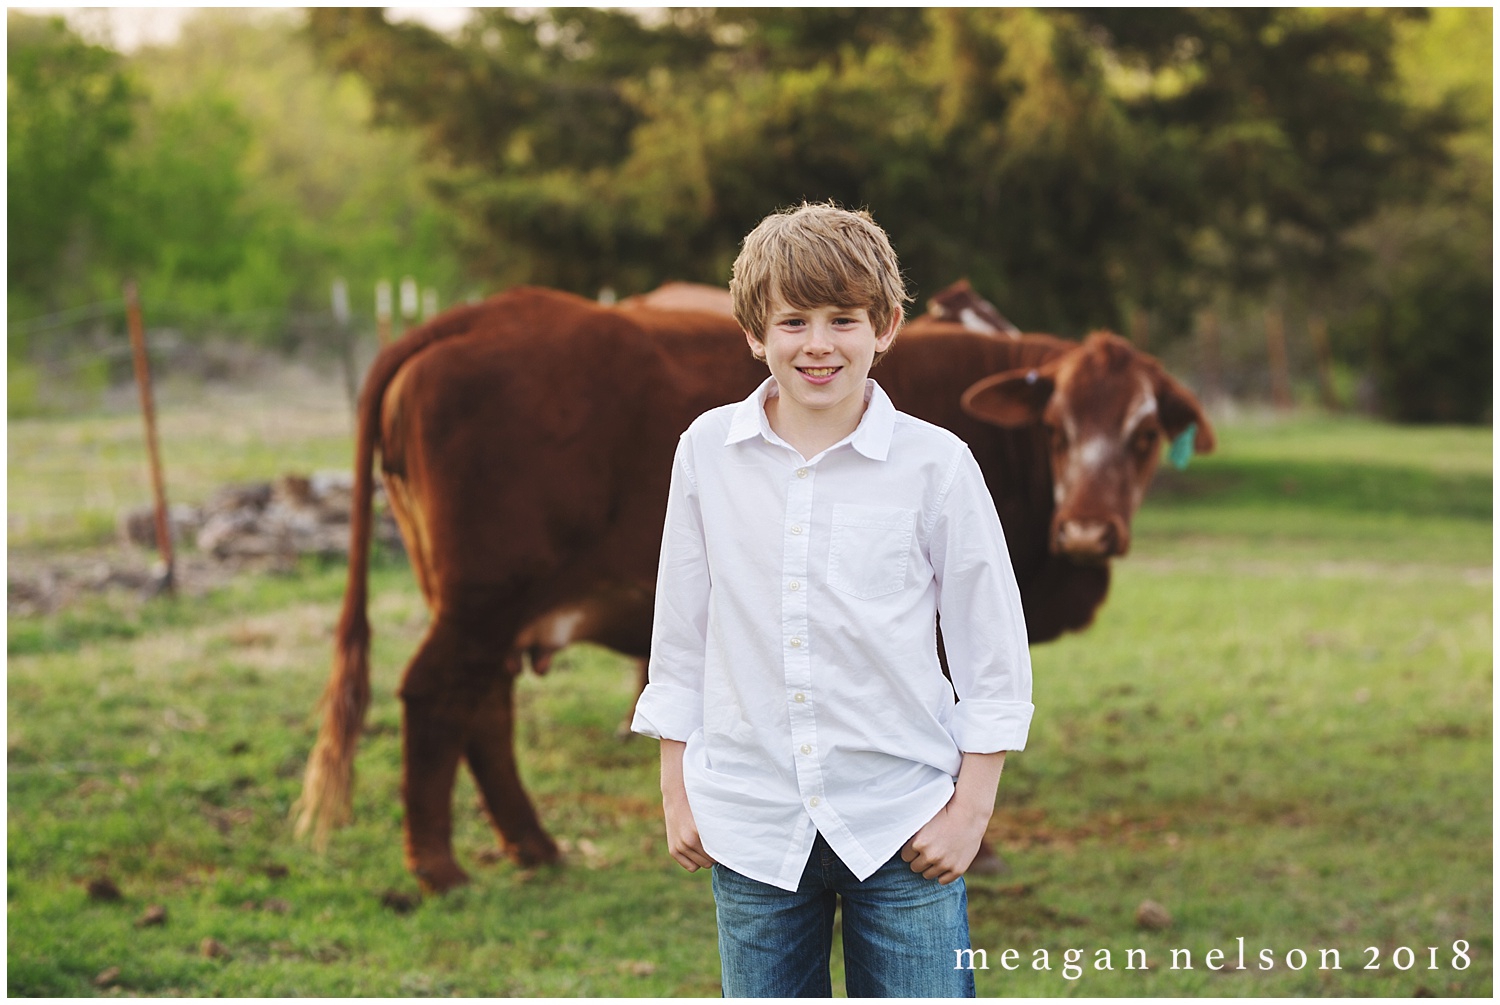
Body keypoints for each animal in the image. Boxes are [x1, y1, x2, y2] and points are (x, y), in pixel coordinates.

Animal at [289, 283, 1206, 888]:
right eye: (1058, 429)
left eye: (1144, 433)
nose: (1088, 529)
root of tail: (484, 312)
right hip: (485, 596)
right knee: (436, 695)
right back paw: (438, 864)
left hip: (486, 603)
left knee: (481, 706)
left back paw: (532, 845)